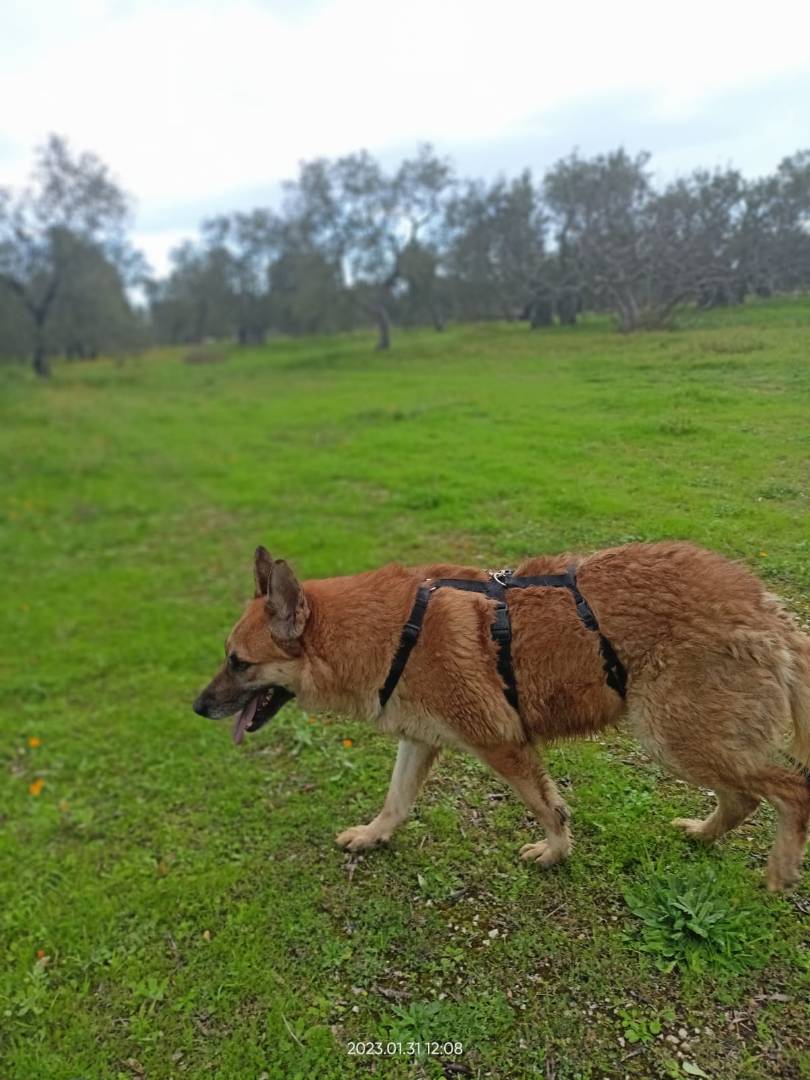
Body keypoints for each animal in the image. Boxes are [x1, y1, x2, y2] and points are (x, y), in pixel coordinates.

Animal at [195, 544, 810, 889]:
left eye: (238, 662)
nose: (198, 706)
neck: (395, 632)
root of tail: (765, 607)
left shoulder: (503, 745)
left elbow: (549, 808)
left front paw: (555, 854)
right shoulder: (420, 741)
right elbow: (395, 802)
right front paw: (373, 837)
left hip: (674, 737)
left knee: (791, 790)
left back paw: (780, 869)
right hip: (690, 740)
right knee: (744, 798)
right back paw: (704, 836)